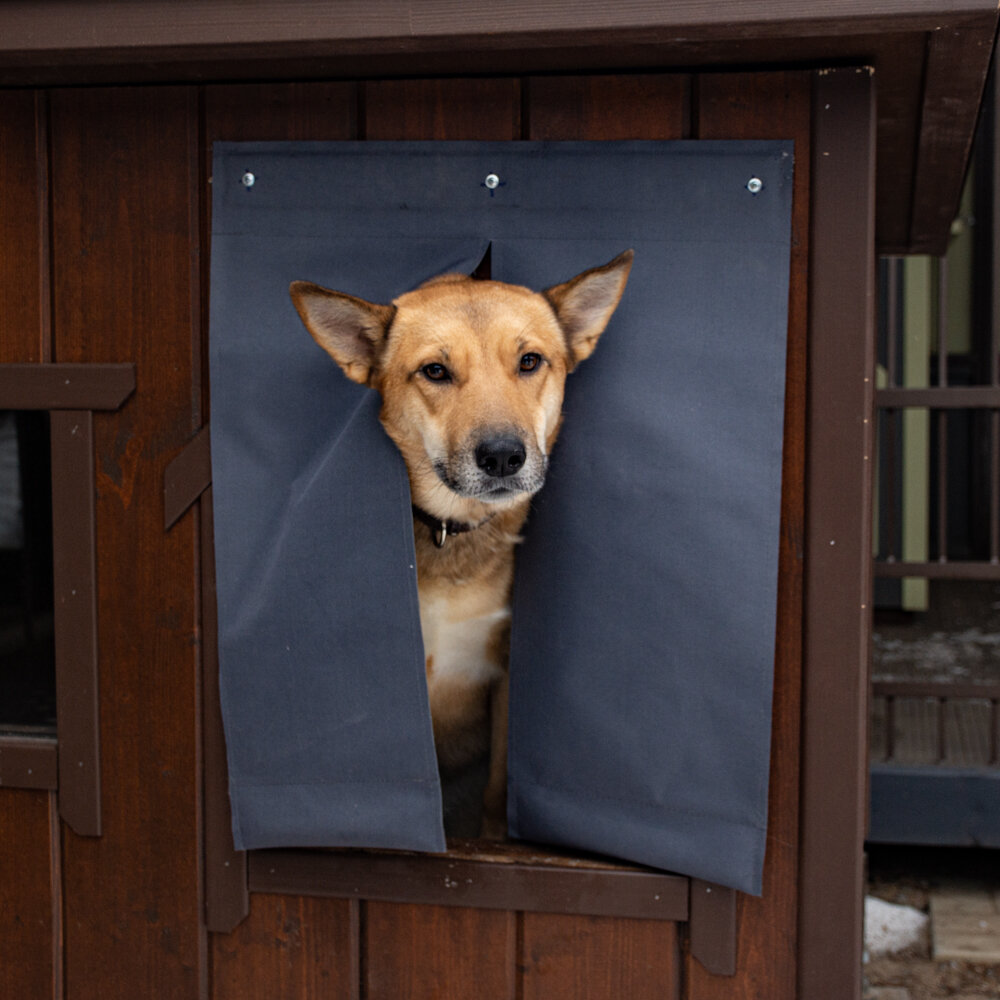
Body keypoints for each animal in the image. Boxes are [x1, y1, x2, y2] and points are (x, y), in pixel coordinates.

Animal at [292, 250, 632, 836]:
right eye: (435, 371)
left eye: (530, 361)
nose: (502, 456)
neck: (451, 531)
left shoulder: (506, 676)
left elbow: (497, 789)